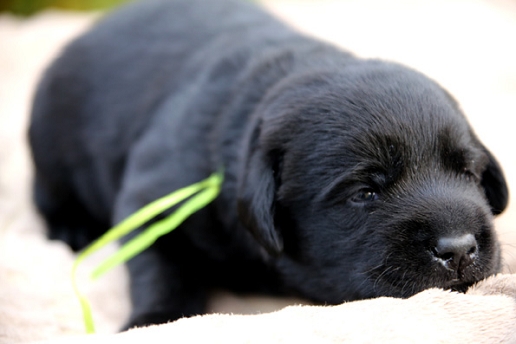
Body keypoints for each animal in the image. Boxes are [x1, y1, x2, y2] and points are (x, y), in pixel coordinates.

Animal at [29, 0, 508, 330]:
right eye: (365, 192)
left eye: (468, 173)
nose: (458, 248)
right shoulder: (153, 199)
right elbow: (161, 266)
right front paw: (156, 318)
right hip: (49, 143)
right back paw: (72, 228)